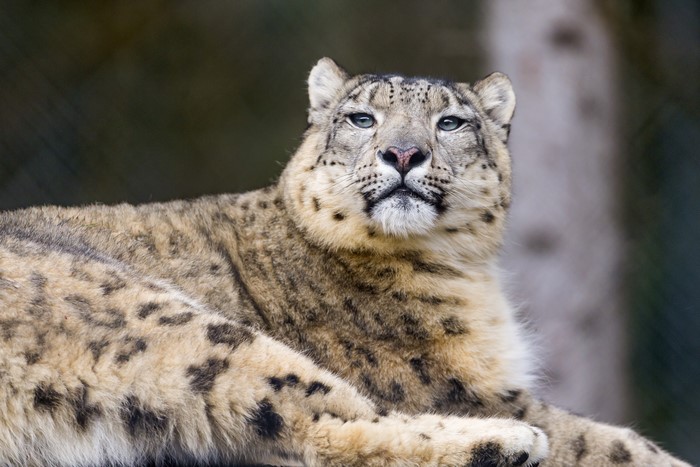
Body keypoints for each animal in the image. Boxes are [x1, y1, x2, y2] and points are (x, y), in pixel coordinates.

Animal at [0, 57, 690, 466]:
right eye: (361, 117)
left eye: (451, 122)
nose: (403, 153)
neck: (466, 271)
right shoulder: (455, 384)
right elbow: (609, 440)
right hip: (171, 324)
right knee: (318, 420)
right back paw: (506, 444)